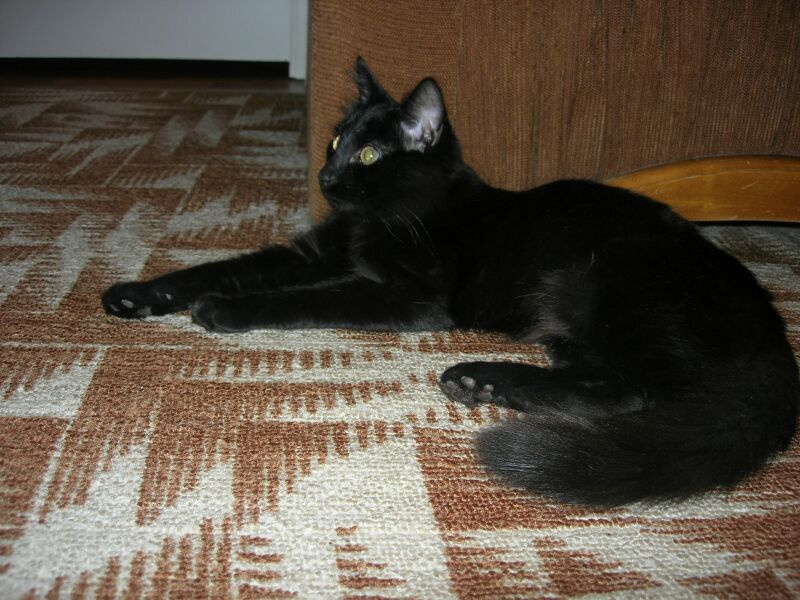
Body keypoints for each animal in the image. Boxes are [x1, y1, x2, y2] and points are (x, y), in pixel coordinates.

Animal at [102, 58, 799, 506]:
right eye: (335, 140)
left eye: (369, 155)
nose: (326, 177)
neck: (388, 214)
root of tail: (769, 324)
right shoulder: (312, 253)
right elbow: (220, 266)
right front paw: (139, 293)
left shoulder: (408, 295)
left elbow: (303, 298)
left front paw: (224, 310)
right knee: (608, 383)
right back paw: (486, 381)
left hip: (605, 279)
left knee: (645, 390)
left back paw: (486, 377)